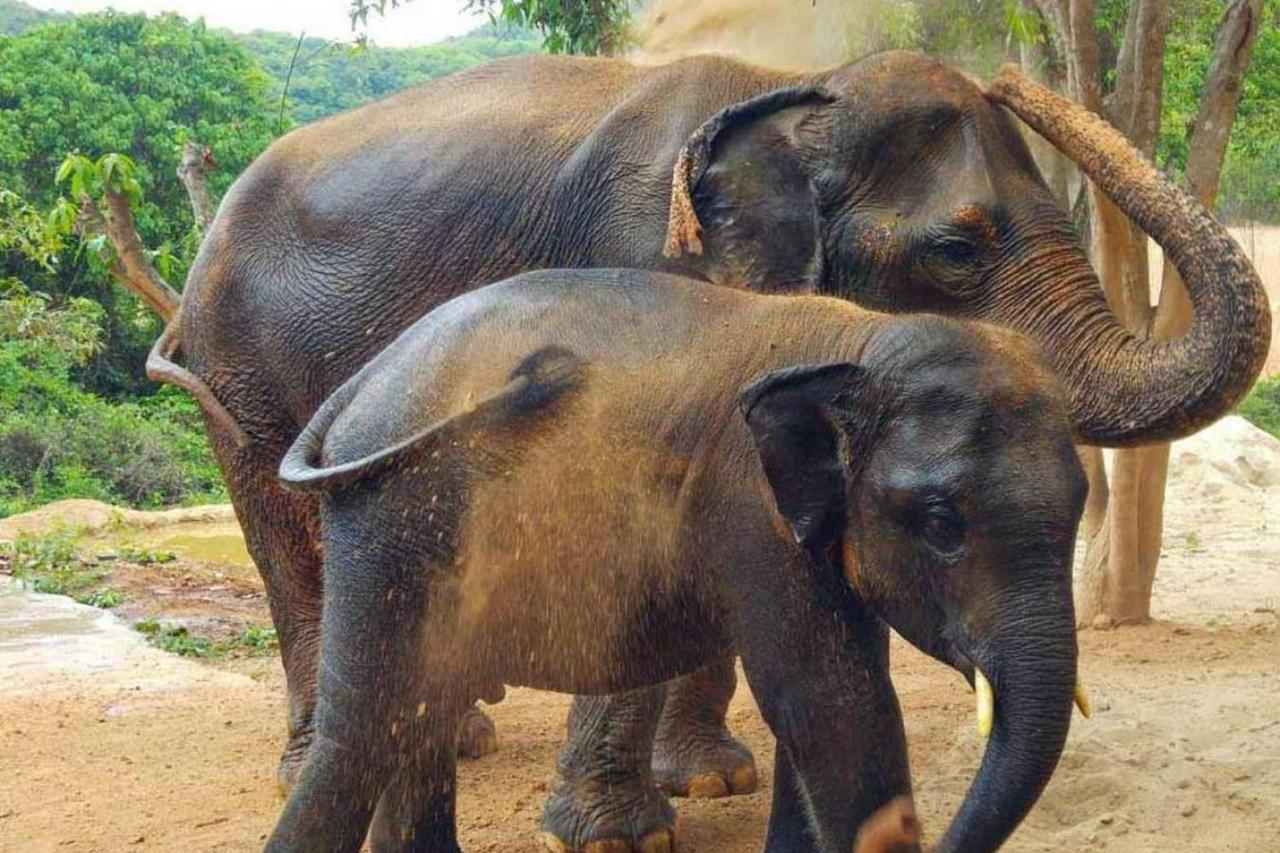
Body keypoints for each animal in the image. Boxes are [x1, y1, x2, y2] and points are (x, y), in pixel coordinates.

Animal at [270, 267, 1090, 853]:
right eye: (944, 522)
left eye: (1082, 503)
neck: (859, 340)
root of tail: (356, 386)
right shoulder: (751, 510)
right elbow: (835, 705)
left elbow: (821, 710)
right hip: (391, 520)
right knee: (366, 727)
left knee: (416, 719)